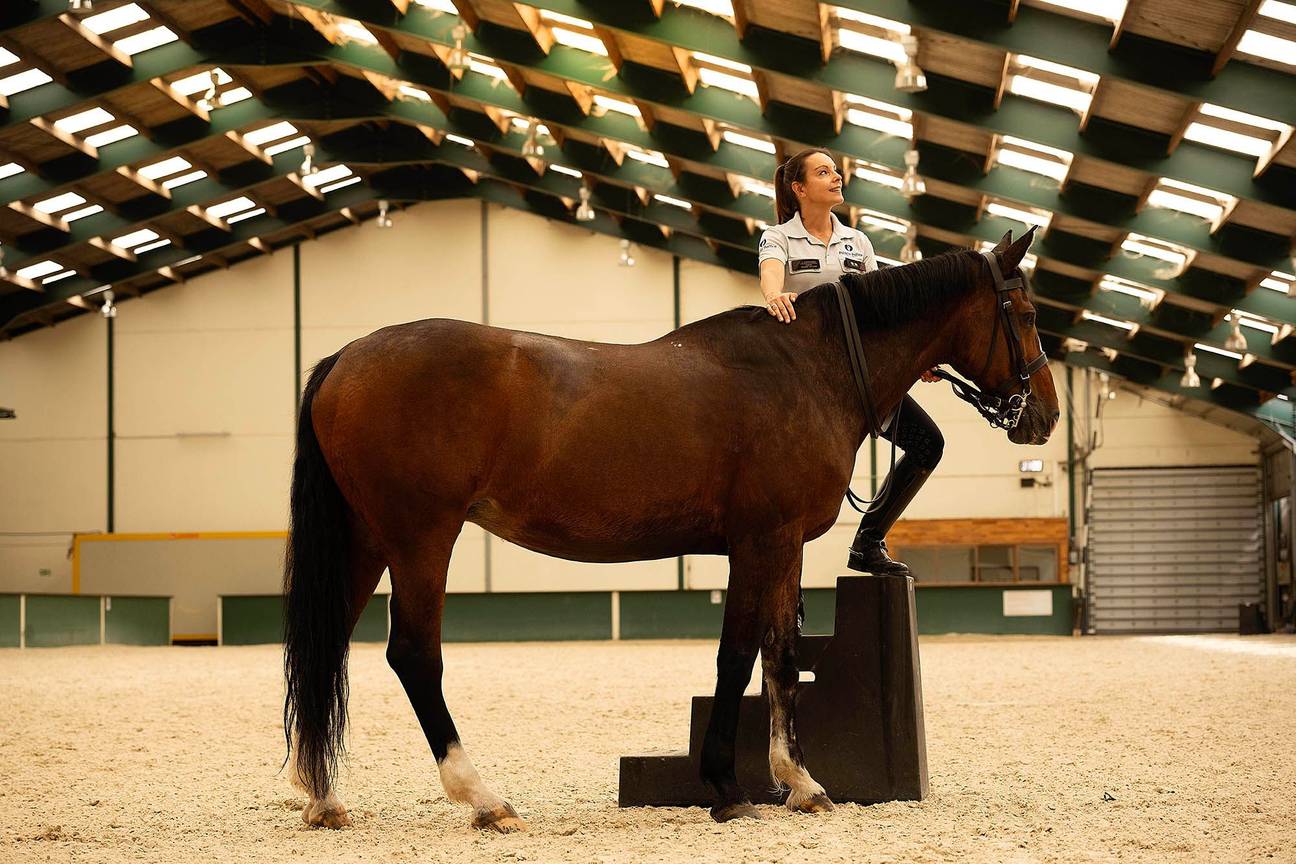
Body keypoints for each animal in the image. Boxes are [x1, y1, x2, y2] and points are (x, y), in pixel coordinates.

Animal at [282, 227, 1058, 830]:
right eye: (1021, 310)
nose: (1044, 415)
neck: (809, 370)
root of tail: (347, 357)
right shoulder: (759, 543)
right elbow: (736, 658)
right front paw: (726, 787)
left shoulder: (784, 549)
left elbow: (782, 660)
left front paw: (801, 784)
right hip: (421, 540)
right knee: (414, 655)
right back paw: (485, 799)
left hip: (366, 541)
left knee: (327, 642)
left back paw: (323, 797)